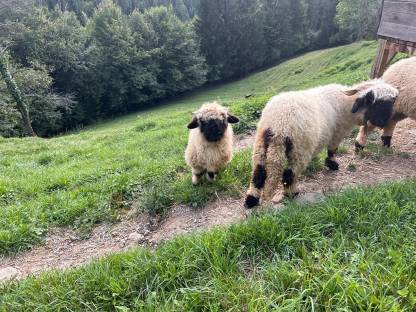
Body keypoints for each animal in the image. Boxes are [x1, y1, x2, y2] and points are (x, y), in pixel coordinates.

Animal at [244, 80, 400, 208]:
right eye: (379, 103)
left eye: (392, 102)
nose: (384, 123)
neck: (346, 104)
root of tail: (279, 125)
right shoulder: (336, 133)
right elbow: (332, 150)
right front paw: (332, 164)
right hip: (299, 149)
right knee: (289, 174)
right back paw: (291, 193)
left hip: (260, 146)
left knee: (258, 173)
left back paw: (251, 200)